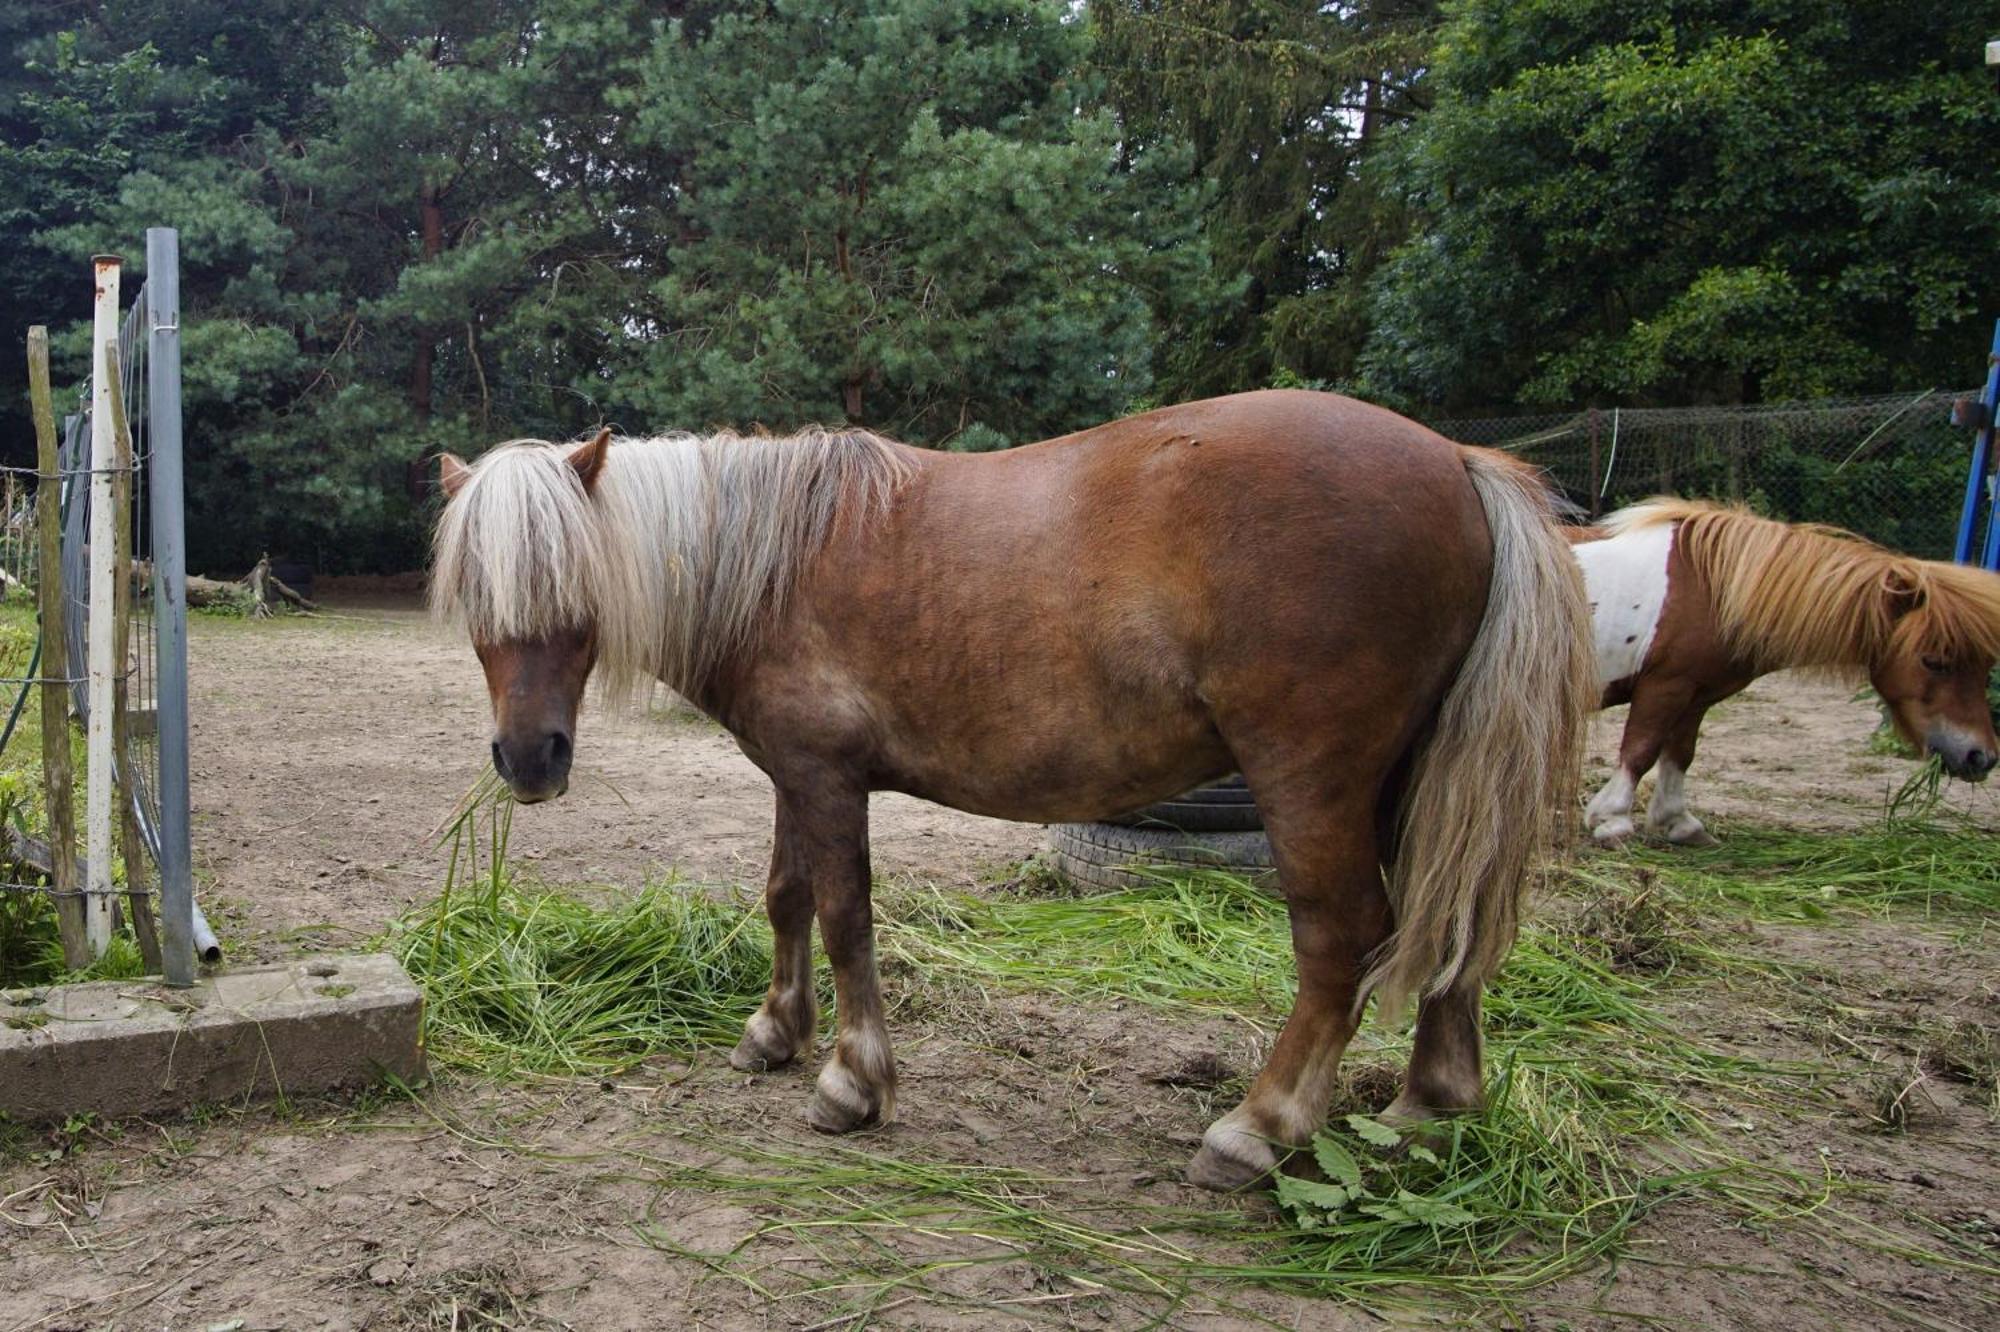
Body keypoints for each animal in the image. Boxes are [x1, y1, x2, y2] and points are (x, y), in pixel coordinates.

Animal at [434, 386, 1592, 1184]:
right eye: (475, 596)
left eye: (567, 584)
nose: (529, 760)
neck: (771, 562)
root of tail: (1456, 458)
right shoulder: (796, 775)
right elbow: (787, 899)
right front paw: (773, 1035)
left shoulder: (825, 778)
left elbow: (846, 915)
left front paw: (852, 1083)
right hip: (1408, 781)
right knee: (1451, 918)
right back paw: (1430, 1105)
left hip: (1310, 781)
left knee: (1339, 938)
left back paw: (1255, 1130)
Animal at [1576, 498, 2000, 840]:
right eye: (1934, 661)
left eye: (1985, 666)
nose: (1981, 757)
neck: (1714, 587)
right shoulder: (1666, 685)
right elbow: (1640, 751)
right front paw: (1611, 820)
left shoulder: (1695, 696)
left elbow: (1679, 754)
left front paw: (1678, 822)